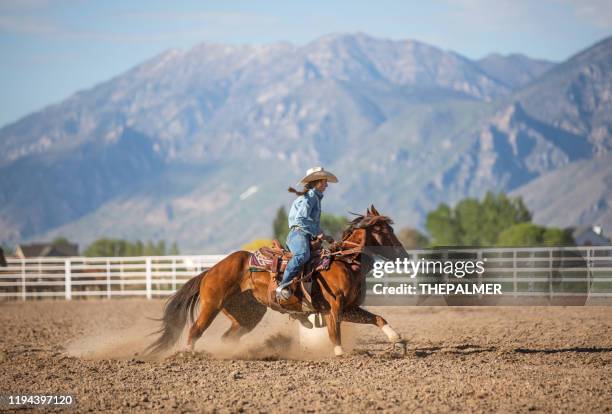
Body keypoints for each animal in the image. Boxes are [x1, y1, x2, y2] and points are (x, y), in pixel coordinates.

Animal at [146, 205, 408, 358]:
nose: (404, 255)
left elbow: (377, 318)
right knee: (195, 330)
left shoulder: (350, 307)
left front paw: (397, 340)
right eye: (383, 231)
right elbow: (335, 333)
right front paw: (340, 354)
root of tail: (211, 269)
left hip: (247, 316)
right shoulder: (335, 307)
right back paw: (188, 355)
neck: (343, 263)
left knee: (227, 337)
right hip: (212, 305)